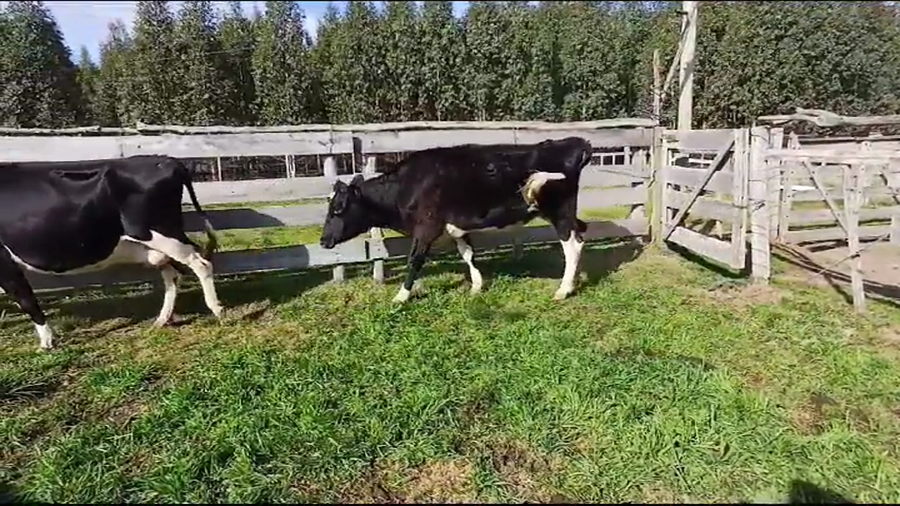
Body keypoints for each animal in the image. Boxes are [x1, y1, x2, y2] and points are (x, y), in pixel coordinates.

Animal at [0, 155, 225, 351]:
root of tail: (166, 159)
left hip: (159, 232)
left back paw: (217, 309)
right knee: (172, 273)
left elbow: (27, 300)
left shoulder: (4, 262)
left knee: (200, 263)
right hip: (156, 243)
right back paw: (161, 320)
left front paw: (47, 342)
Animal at [319, 136, 593, 303]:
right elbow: (468, 254)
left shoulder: (426, 227)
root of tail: (573, 143)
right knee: (580, 234)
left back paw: (563, 289)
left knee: (572, 245)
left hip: (559, 212)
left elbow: (414, 260)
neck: (406, 186)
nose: (323, 241)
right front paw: (476, 286)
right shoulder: (456, 227)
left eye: (338, 209)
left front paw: (401, 296)